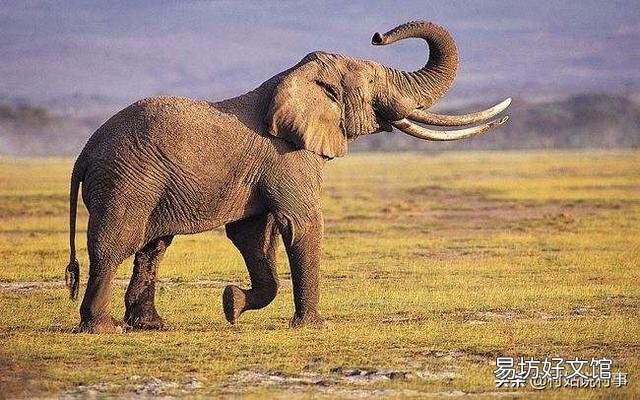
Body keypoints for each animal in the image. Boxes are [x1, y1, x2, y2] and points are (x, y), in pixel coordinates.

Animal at [64, 20, 510, 333]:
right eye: (371, 81)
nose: (377, 35)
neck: (295, 77)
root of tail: (84, 153)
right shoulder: (289, 157)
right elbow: (301, 224)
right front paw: (312, 325)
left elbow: (252, 236)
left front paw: (231, 304)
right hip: (126, 179)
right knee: (116, 243)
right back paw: (100, 328)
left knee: (153, 247)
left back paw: (151, 326)